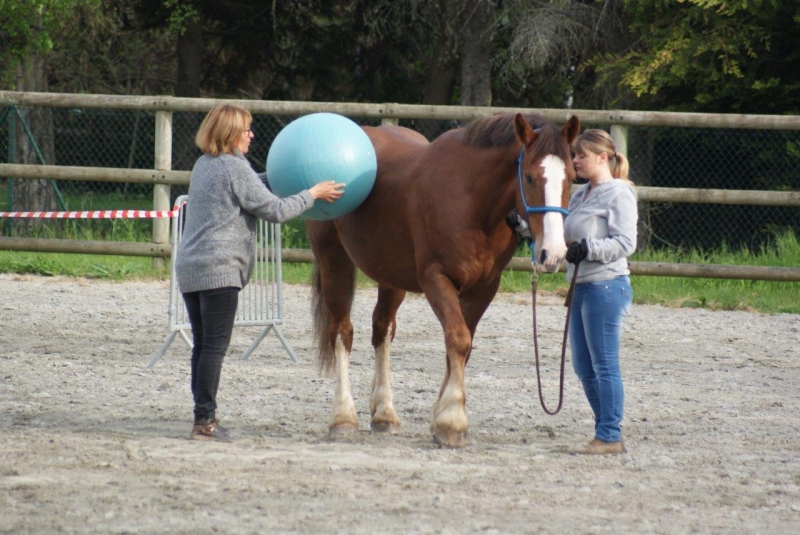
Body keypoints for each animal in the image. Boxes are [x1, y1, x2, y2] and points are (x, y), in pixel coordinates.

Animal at [304, 113, 576, 448]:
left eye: (572, 177)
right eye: (529, 177)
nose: (553, 253)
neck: (473, 202)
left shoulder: (485, 288)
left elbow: (462, 346)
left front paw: (441, 417)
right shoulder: (436, 279)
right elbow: (457, 339)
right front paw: (452, 421)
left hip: (392, 277)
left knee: (382, 330)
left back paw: (384, 414)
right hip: (334, 261)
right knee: (342, 331)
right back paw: (343, 417)